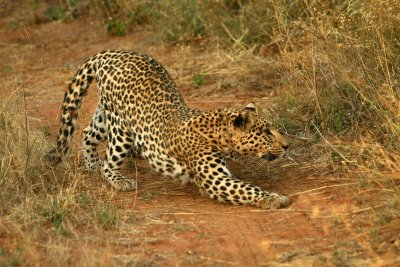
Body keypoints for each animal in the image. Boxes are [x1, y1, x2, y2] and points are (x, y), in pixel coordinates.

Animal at [47, 49, 290, 209]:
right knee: (109, 162)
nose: (288, 146)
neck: (218, 132)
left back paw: (91, 164)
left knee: (88, 132)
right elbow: (247, 189)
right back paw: (119, 181)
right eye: (267, 133)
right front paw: (274, 198)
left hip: (108, 116)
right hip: (120, 130)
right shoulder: (216, 180)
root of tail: (112, 53)